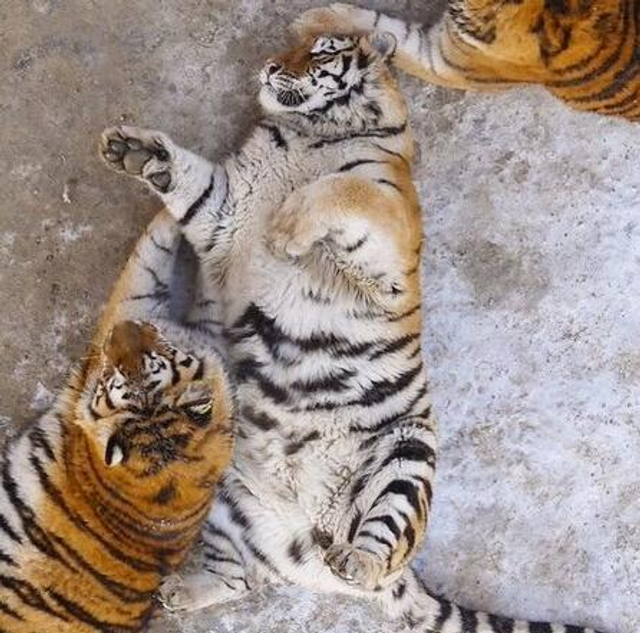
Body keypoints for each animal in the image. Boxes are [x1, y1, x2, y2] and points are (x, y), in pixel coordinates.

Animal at [99, 30, 604, 633]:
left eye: (319, 51)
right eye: (290, 47)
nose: (269, 67)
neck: (308, 134)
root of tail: (310, 530)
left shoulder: (386, 228)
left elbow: (344, 190)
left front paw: (287, 228)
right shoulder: (226, 208)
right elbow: (192, 178)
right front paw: (134, 151)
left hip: (406, 456)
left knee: (380, 546)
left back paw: (354, 560)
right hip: (226, 490)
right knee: (236, 576)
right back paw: (177, 591)